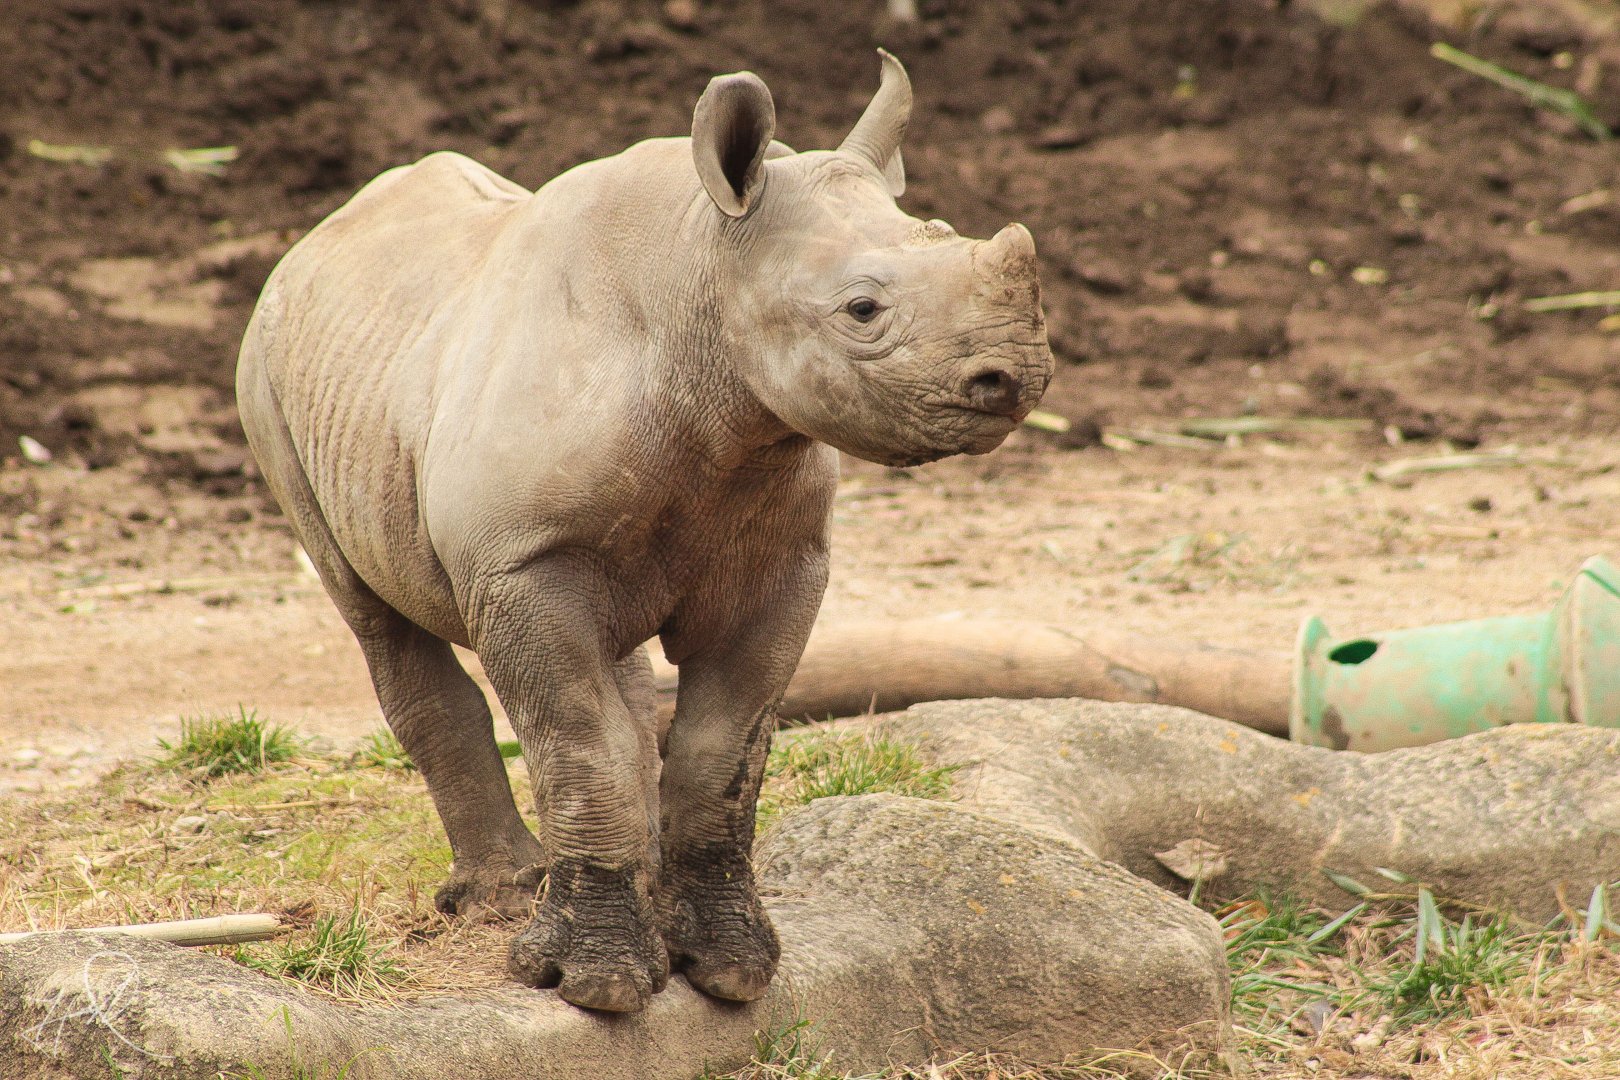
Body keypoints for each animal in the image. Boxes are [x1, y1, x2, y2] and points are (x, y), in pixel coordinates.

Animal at [236, 51, 1053, 1013]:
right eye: (862, 310)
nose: (1020, 375)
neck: (701, 280)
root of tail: (321, 235)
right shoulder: (521, 562)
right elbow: (577, 742)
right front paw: (592, 985)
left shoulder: (785, 562)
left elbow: (723, 749)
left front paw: (731, 970)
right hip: (268, 376)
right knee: (372, 611)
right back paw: (501, 896)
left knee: (621, 683)